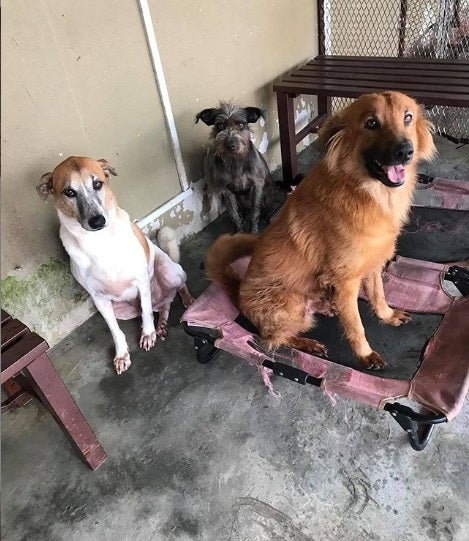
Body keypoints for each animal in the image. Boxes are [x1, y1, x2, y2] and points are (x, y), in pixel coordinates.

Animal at [36, 156, 194, 374]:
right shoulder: (99, 299)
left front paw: (147, 333)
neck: (98, 243)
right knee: (164, 304)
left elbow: (146, 311)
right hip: (122, 310)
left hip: (169, 271)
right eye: (69, 192)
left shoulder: (141, 281)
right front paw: (122, 354)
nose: (97, 221)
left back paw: (184, 301)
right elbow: (114, 329)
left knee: (175, 290)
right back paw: (161, 323)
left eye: (97, 184)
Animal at [207, 90, 434, 370]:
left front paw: (387, 315)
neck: (366, 192)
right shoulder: (346, 281)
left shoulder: (372, 264)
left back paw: (327, 306)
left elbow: (378, 295)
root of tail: (238, 295)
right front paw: (364, 354)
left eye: (408, 117)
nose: (405, 151)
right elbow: (355, 325)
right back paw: (307, 343)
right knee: (271, 337)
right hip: (290, 304)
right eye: (371, 123)